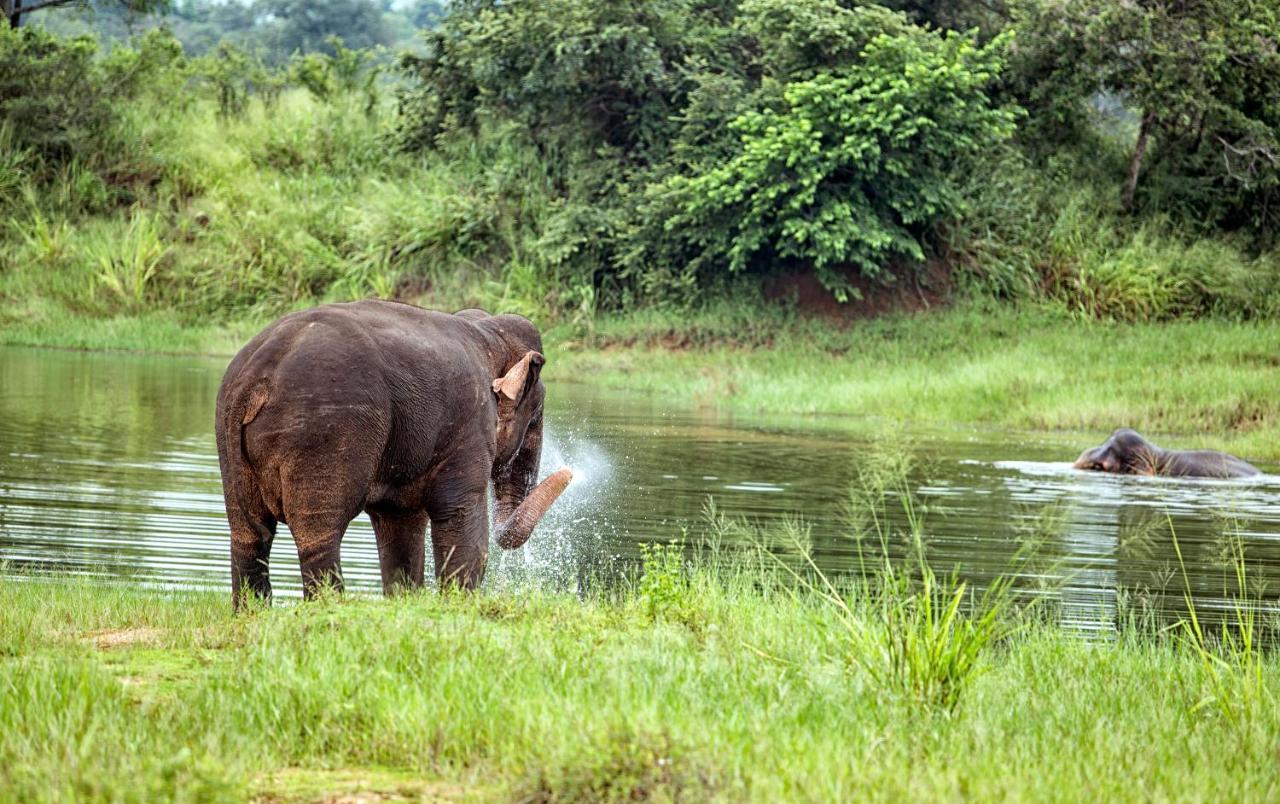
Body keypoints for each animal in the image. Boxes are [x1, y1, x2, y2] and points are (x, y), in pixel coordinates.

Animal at [216, 302, 576, 609]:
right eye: (536, 416)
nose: (571, 472)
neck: (488, 333)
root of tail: (254, 378)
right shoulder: (470, 426)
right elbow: (459, 513)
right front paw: (459, 605)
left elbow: (400, 522)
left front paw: (407, 603)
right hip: (323, 434)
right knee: (318, 533)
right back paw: (328, 607)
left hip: (230, 442)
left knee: (249, 533)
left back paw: (252, 612)